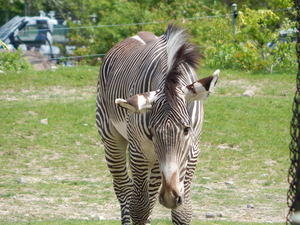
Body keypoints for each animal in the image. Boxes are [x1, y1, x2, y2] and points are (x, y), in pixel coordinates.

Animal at [95, 23, 218, 224]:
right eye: (151, 132)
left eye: (186, 129)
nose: (169, 197)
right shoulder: (138, 151)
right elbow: (139, 208)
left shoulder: (192, 151)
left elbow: (182, 212)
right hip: (112, 137)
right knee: (124, 188)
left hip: (154, 160)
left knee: (150, 193)